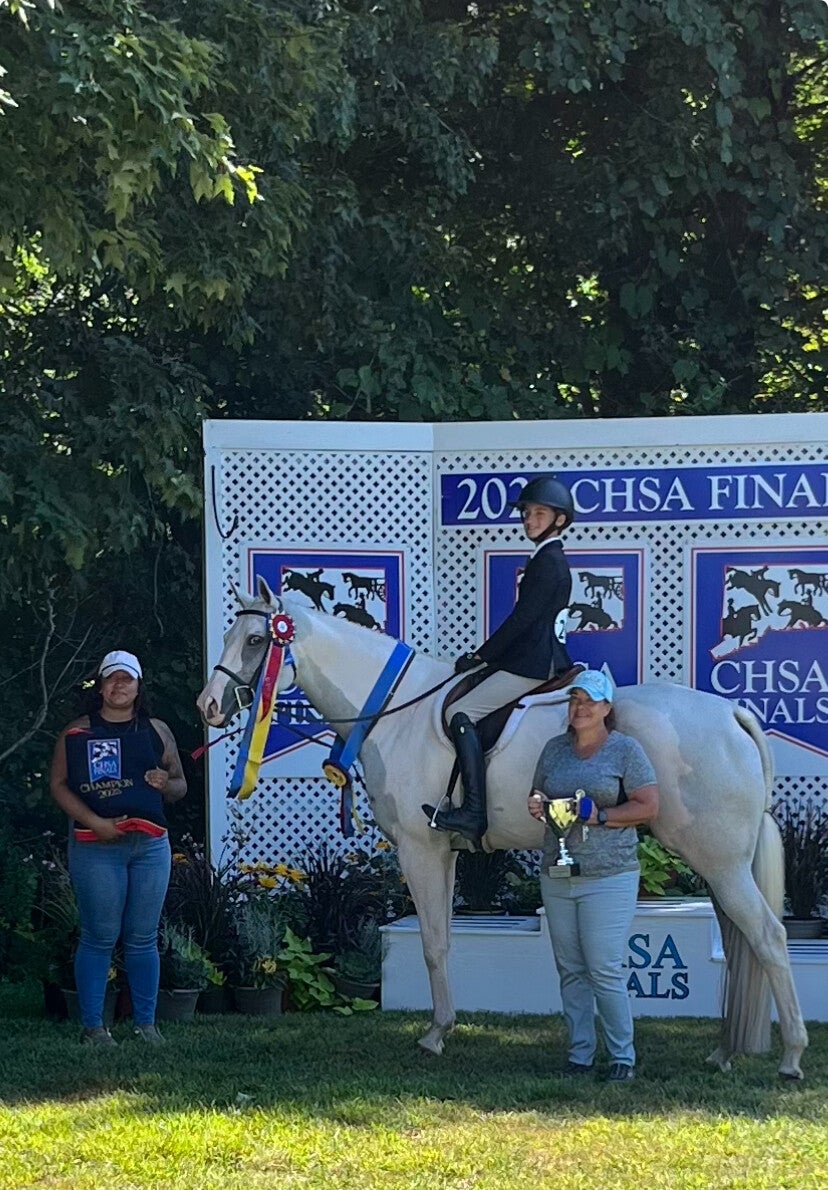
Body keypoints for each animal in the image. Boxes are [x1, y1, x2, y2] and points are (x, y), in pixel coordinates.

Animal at [197, 580, 807, 1079]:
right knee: (741, 943)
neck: (395, 709)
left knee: (768, 938)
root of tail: (730, 714)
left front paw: (434, 1036)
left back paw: (791, 1057)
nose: (208, 706)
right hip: (719, 864)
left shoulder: (420, 849)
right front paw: (444, 1027)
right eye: (229, 634)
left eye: (256, 641)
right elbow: (441, 941)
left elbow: (433, 944)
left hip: (719, 862)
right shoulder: (443, 853)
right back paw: (724, 1052)